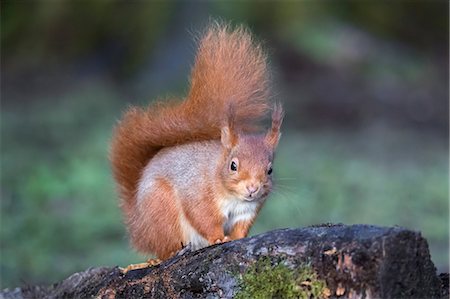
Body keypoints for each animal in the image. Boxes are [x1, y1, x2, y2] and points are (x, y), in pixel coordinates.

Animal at [109, 22, 284, 260]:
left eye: (270, 170)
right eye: (233, 165)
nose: (252, 188)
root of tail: (139, 228)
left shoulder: (247, 211)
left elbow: (241, 227)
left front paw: (237, 238)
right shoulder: (197, 194)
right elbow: (204, 218)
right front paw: (218, 238)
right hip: (161, 208)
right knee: (166, 247)